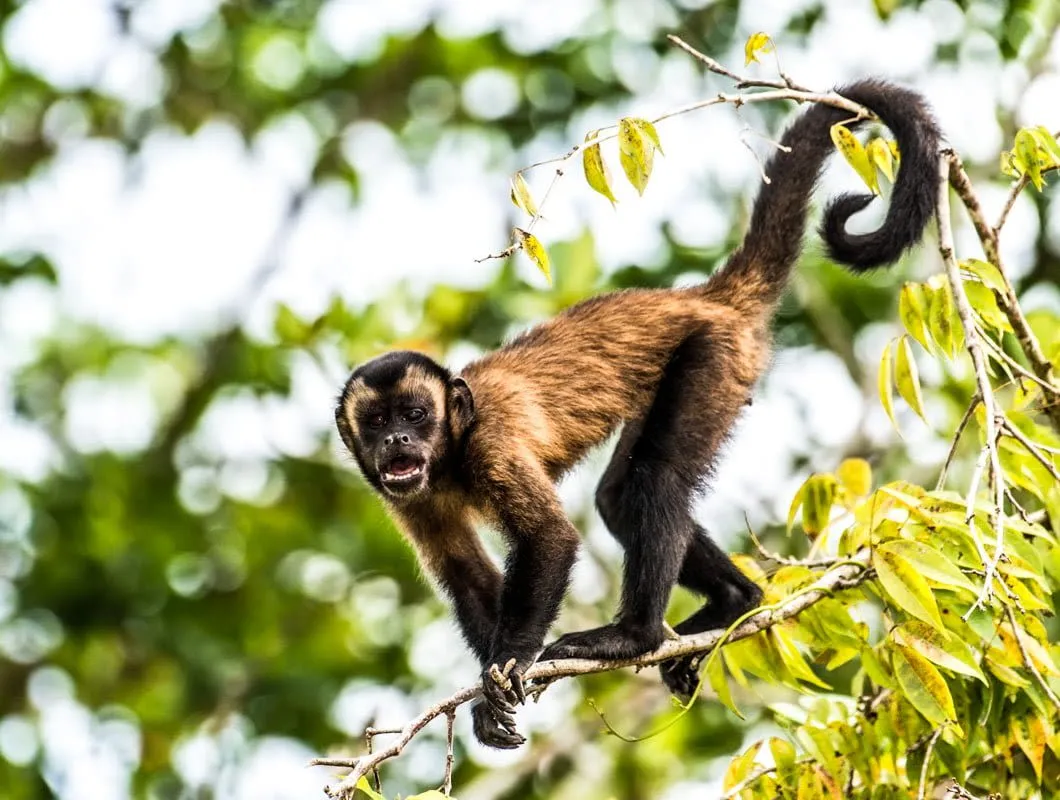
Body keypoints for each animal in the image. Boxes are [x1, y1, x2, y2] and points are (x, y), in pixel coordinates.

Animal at [334, 79, 941, 750]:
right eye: (378, 423)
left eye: (416, 414)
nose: (396, 442)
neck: (450, 455)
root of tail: (705, 298)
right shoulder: (404, 498)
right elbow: (467, 574)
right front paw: (487, 689)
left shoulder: (491, 442)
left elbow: (550, 540)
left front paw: (512, 663)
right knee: (621, 497)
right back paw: (736, 600)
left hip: (714, 357)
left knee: (654, 479)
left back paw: (634, 637)